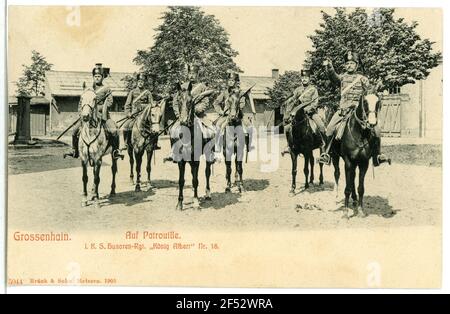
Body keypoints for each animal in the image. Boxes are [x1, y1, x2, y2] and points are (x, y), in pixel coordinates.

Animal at [171, 82, 215, 212]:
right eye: (178, 100)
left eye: (191, 101)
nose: (184, 121)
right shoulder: (181, 160)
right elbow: (181, 181)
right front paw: (179, 203)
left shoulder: (196, 160)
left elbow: (195, 180)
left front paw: (195, 203)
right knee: (192, 173)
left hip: (208, 155)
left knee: (207, 172)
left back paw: (207, 194)